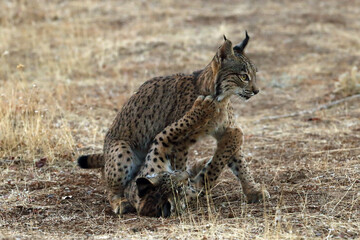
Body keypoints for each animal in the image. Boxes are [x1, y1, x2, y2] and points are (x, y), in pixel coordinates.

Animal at [79, 32, 270, 218]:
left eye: (254, 74)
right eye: (243, 76)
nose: (256, 91)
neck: (221, 97)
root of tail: (104, 153)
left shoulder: (225, 130)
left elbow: (239, 161)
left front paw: (253, 190)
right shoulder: (182, 142)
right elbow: (180, 164)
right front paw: (185, 189)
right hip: (121, 150)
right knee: (113, 187)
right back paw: (120, 202)